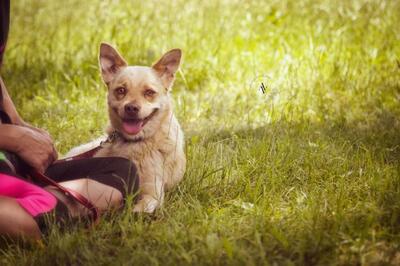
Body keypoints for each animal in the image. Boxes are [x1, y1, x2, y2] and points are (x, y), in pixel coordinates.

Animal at [67, 44, 186, 214]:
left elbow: (137, 211)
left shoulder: (153, 194)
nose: (131, 108)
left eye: (149, 92)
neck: (135, 143)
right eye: (121, 90)